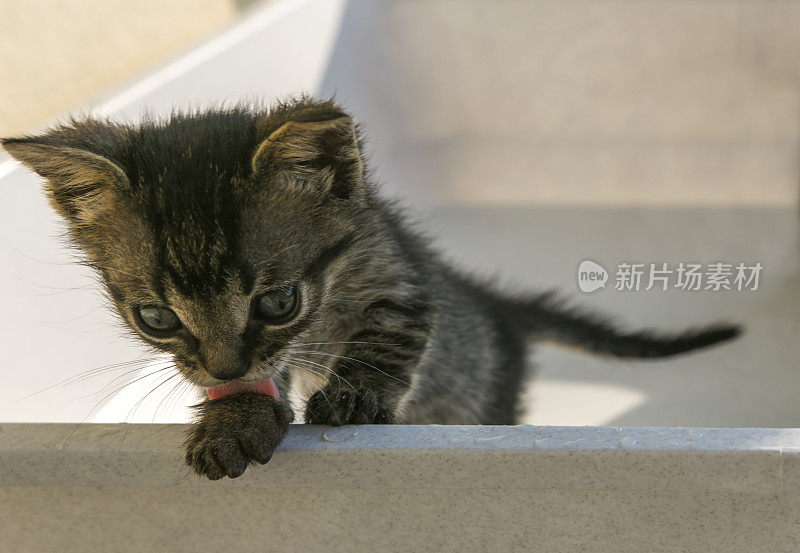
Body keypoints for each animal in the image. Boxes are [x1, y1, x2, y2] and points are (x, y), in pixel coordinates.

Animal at [1, 99, 736, 478]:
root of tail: (497, 309)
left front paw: (352, 393)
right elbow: (259, 379)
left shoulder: (400, 279)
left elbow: (383, 337)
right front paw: (235, 417)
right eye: (155, 317)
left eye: (278, 301)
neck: (324, 303)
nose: (225, 367)